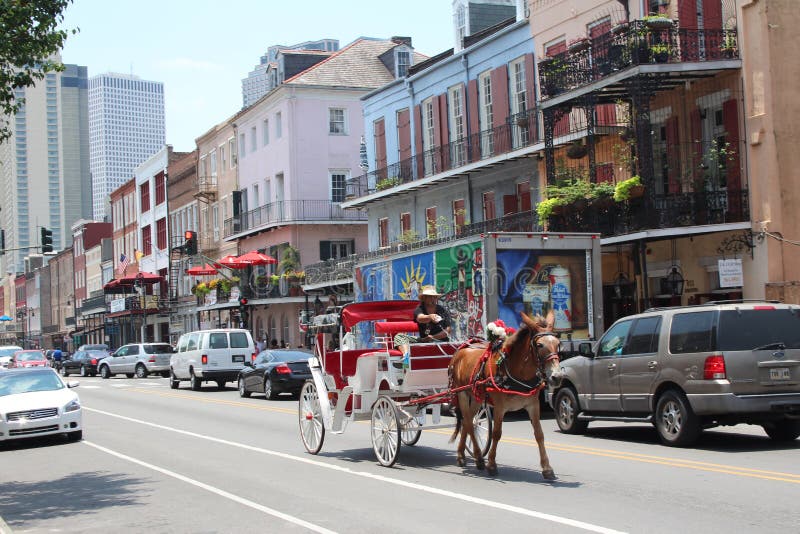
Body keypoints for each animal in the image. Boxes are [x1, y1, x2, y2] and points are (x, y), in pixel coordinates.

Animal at [450, 310, 564, 482]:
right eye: (539, 345)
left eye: (558, 343)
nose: (557, 377)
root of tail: (462, 349)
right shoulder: (499, 407)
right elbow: (497, 434)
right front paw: (491, 464)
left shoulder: (533, 405)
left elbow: (539, 435)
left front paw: (547, 468)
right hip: (462, 393)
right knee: (469, 423)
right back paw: (478, 457)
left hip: (476, 396)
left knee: (468, 421)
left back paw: (462, 455)